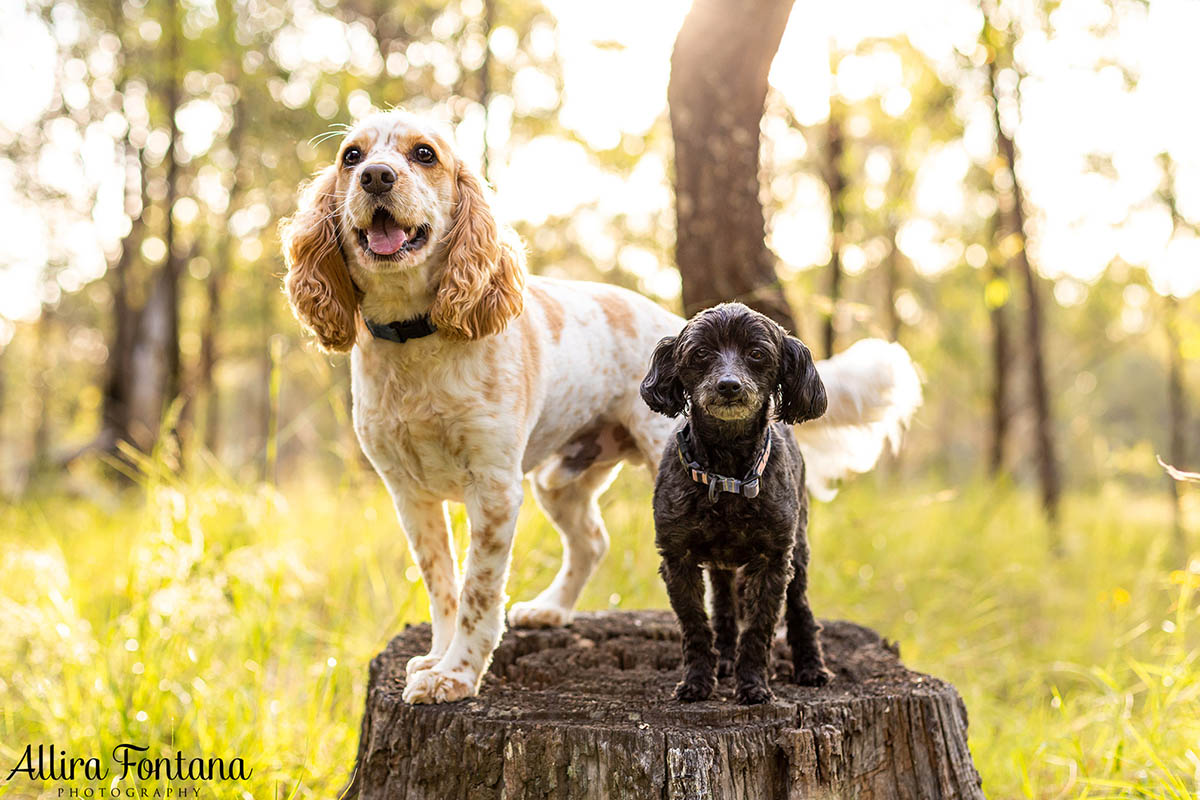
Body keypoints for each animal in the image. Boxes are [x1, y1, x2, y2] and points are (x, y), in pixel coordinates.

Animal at [643, 303, 830, 705]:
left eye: (757, 354)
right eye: (701, 353)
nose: (729, 385)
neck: (725, 470)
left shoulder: (774, 560)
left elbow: (759, 628)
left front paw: (754, 685)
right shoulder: (678, 558)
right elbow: (696, 624)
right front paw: (698, 681)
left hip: (799, 551)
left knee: (800, 608)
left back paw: (811, 667)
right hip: (720, 565)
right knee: (725, 607)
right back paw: (725, 660)